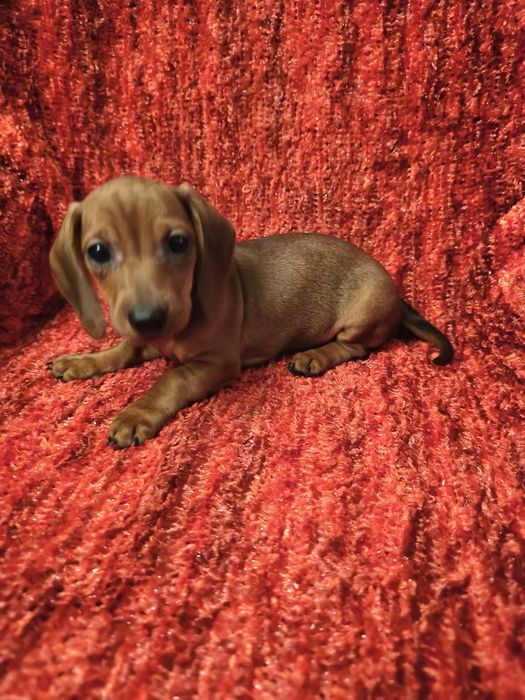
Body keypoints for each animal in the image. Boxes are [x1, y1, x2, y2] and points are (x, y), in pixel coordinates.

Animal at [48, 176, 453, 447]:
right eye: (98, 252)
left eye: (178, 242)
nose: (149, 318)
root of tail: (397, 295)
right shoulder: (147, 338)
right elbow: (123, 350)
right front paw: (81, 361)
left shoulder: (218, 363)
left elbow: (171, 378)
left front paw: (137, 413)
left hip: (361, 315)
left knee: (354, 348)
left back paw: (314, 357)